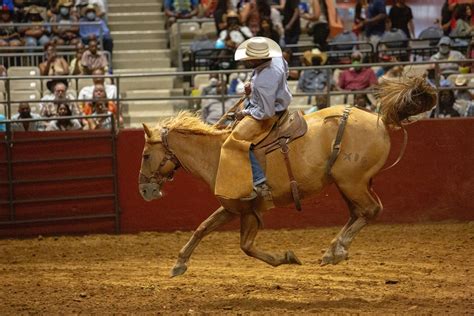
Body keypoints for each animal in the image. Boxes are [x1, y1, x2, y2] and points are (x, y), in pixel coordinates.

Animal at [138, 76, 436, 276]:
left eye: (145, 155)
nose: (144, 191)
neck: (217, 154)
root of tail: (381, 120)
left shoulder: (248, 210)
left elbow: (246, 246)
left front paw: (287, 257)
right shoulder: (232, 208)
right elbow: (203, 228)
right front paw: (179, 263)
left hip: (352, 182)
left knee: (370, 210)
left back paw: (336, 250)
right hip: (349, 184)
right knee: (359, 213)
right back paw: (334, 250)